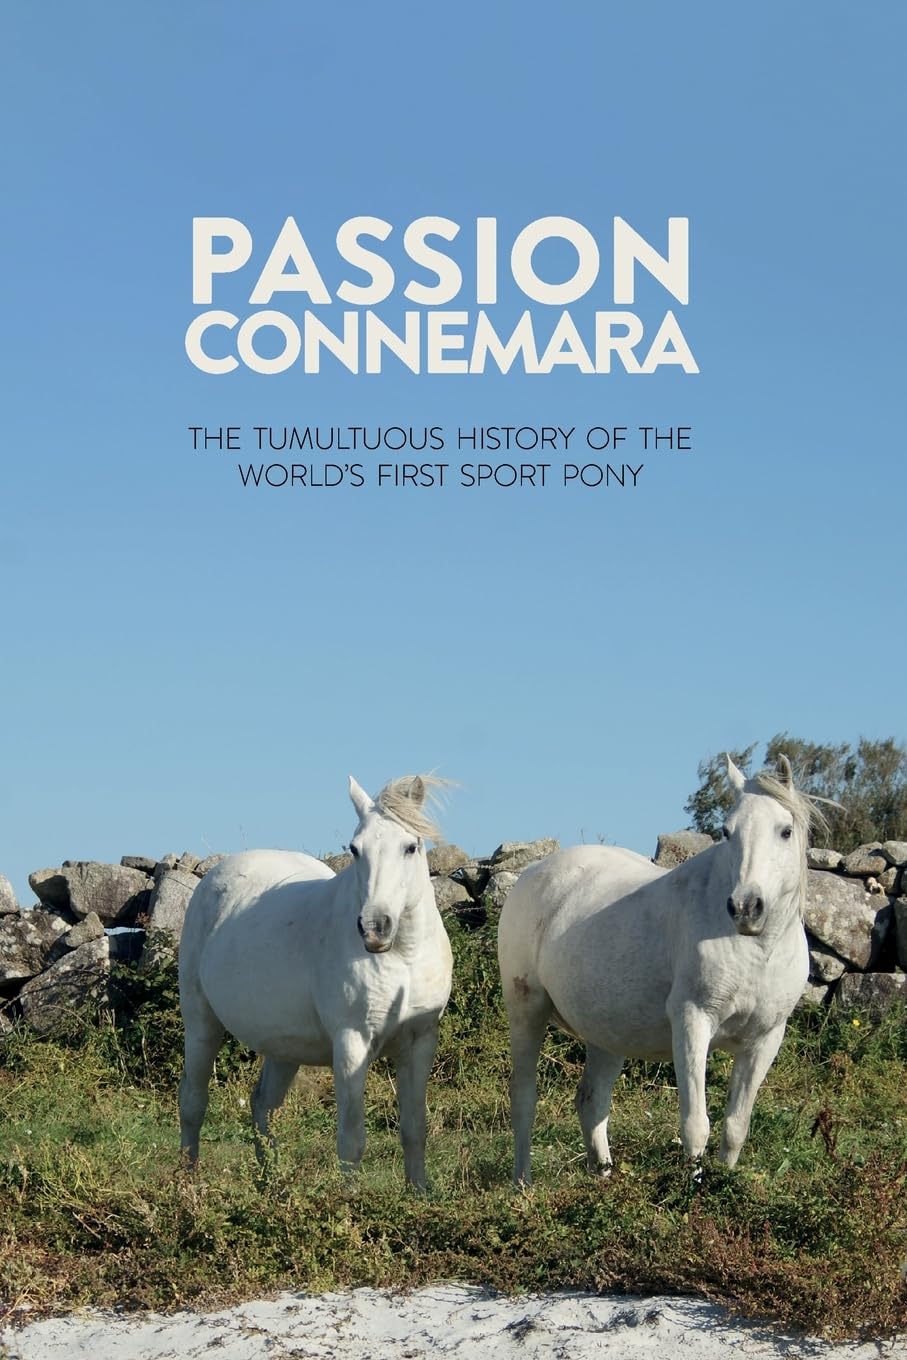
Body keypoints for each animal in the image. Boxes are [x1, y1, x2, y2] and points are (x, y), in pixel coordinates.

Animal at [178, 773, 453, 1188]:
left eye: (410, 846)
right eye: (355, 849)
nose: (374, 927)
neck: (403, 957)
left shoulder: (420, 1042)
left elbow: (414, 1129)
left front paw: (418, 1193)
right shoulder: (352, 1042)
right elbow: (352, 1139)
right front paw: (350, 1198)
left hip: (283, 1046)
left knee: (263, 1105)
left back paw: (272, 1185)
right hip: (201, 1025)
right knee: (193, 1102)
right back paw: (188, 1183)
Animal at [498, 756, 820, 1183]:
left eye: (785, 831)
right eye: (727, 831)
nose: (745, 907)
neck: (756, 950)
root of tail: (532, 873)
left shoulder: (765, 1039)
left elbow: (736, 1126)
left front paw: (723, 1183)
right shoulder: (692, 1021)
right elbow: (696, 1123)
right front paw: (692, 1189)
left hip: (606, 1034)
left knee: (591, 1101)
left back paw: (603, 1175)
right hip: (527, 1012)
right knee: (524, 1098)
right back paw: (523, 1183)